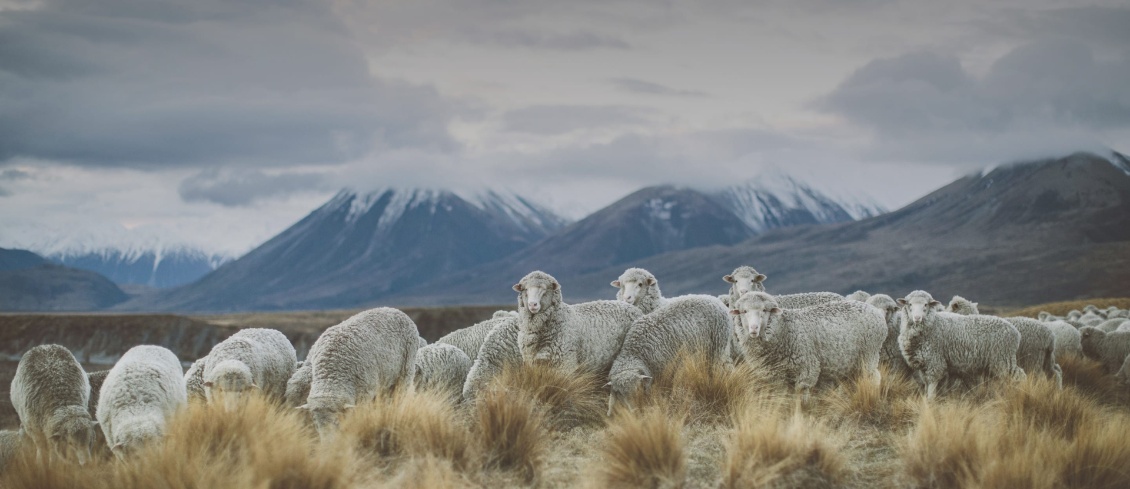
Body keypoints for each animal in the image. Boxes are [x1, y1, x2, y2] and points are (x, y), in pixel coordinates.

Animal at [296, 304, 420, 438]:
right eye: (316, 423)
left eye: (336, 422)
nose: (328, 442)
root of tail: (393, 309)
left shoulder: (365, 393)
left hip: (405, 372)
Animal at [723, 291, 890, 402]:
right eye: (744, 311)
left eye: (764, 310)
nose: (753, 329)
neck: (784, 328)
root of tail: (873, 310)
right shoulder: (775, 375)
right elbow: (782, 395)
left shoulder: (807, 368)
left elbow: (801, 393)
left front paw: (802, 411)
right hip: (850, 362)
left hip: (869, 353)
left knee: (873, 377)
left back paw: (873, 396)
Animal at [894, 289, 1030, 397]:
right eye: (909, 304)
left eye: (926, 304)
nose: (917, 318)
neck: (933, 324)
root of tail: (1015, 332)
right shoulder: (924, 364)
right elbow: (927, 385)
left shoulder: (935, 362)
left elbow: (932, 389)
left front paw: (930, 405)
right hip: (1000, 360)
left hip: (1002, 359)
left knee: (1019, 376)